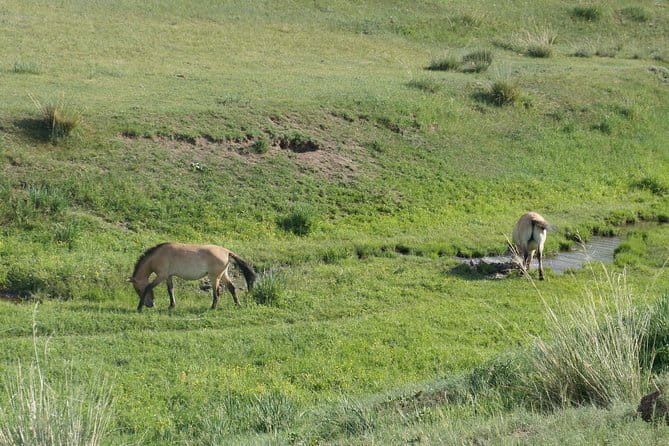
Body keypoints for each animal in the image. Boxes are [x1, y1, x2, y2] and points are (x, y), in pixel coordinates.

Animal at [128, 243, 256, 312]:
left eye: (138, 290)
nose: (150, 305)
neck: (159, 255)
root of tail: (227, 252)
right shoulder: (168, 276)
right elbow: (170, 290)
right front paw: (172, 305)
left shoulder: (161, 276)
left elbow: (149, 287)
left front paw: (139, 307)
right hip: (223, 275)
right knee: (232, 288)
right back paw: (237, 305)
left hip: (214, 277)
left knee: (217, 293)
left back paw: (213, 307)